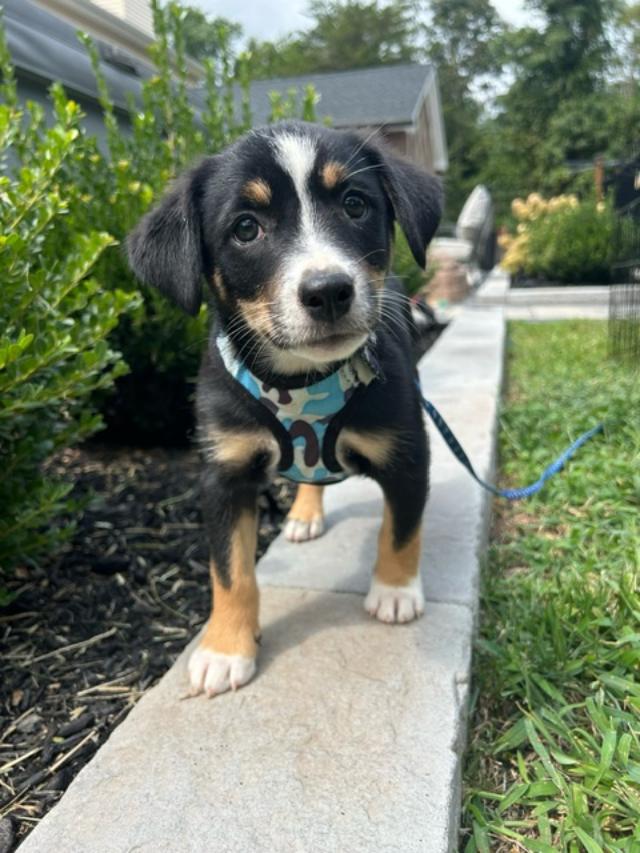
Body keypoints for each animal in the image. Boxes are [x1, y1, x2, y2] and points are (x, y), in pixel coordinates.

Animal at [127, 120, 442, 696]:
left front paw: (394, 590)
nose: (329, 291)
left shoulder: (408, 451)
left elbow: (402, 528)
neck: (301, 380)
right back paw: (302, 513)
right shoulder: (224, 472)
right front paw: (226, 649)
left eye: (355, 205)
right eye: (246, 228)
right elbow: (229, 570)